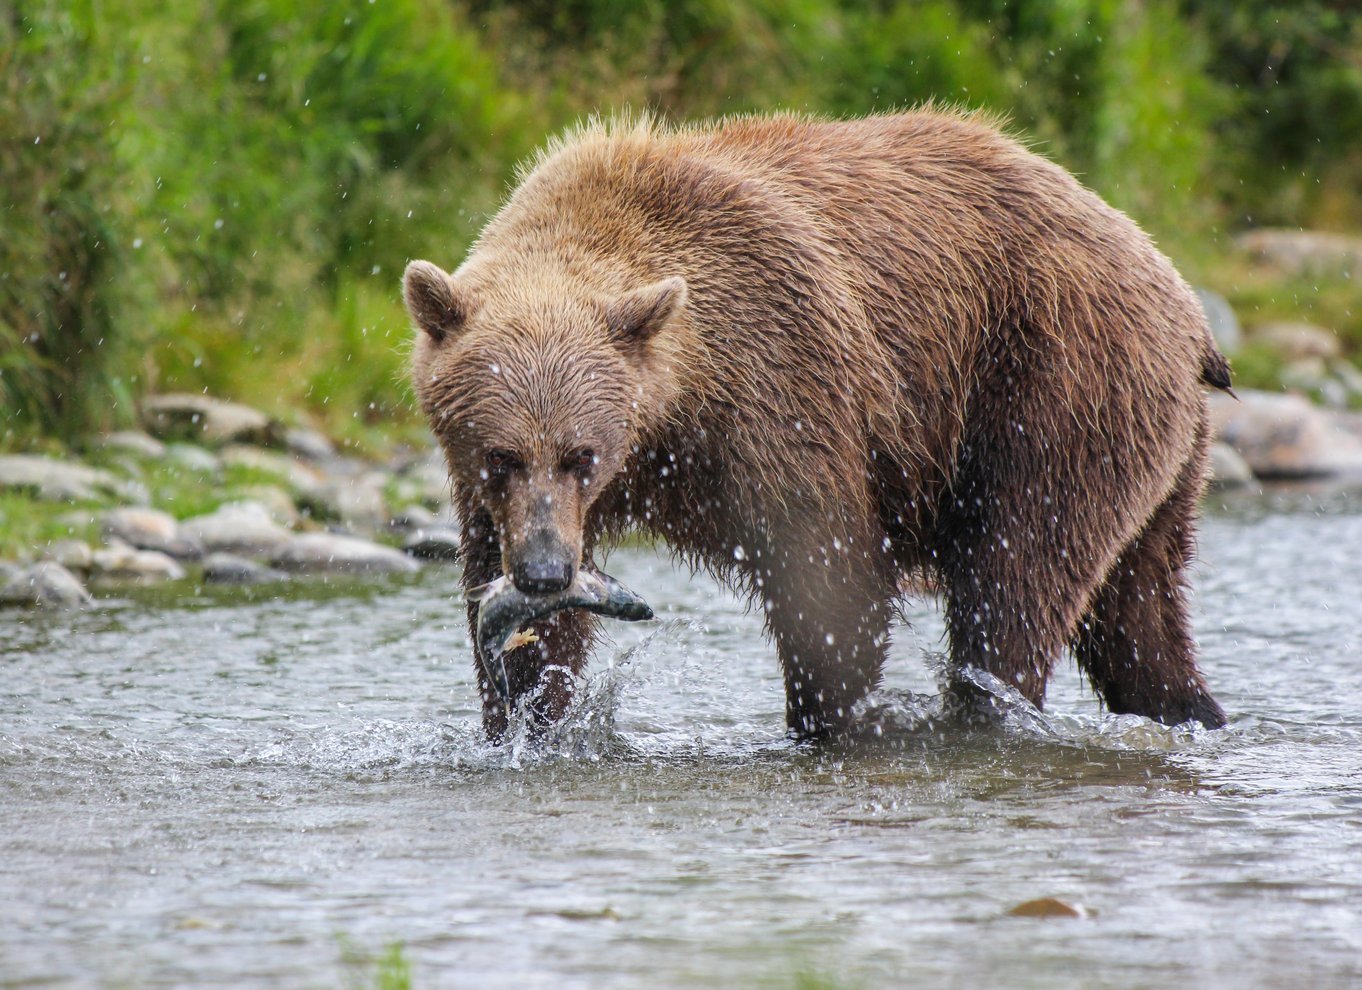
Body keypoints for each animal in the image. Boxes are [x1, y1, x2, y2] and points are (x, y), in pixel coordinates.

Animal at [404, 109, 1231, 741]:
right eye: (502, 456)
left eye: (582, 453)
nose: (545, 571)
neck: (673, 414)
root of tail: (1178, 292)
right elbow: (523, 621)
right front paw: (528, 714)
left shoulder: (781, 384)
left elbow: (831, 578)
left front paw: (828, 719)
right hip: (1151, 443)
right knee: (1138, 610)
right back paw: (1190, 708)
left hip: (1053, 380)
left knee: (1016, 575)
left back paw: (983, 711)